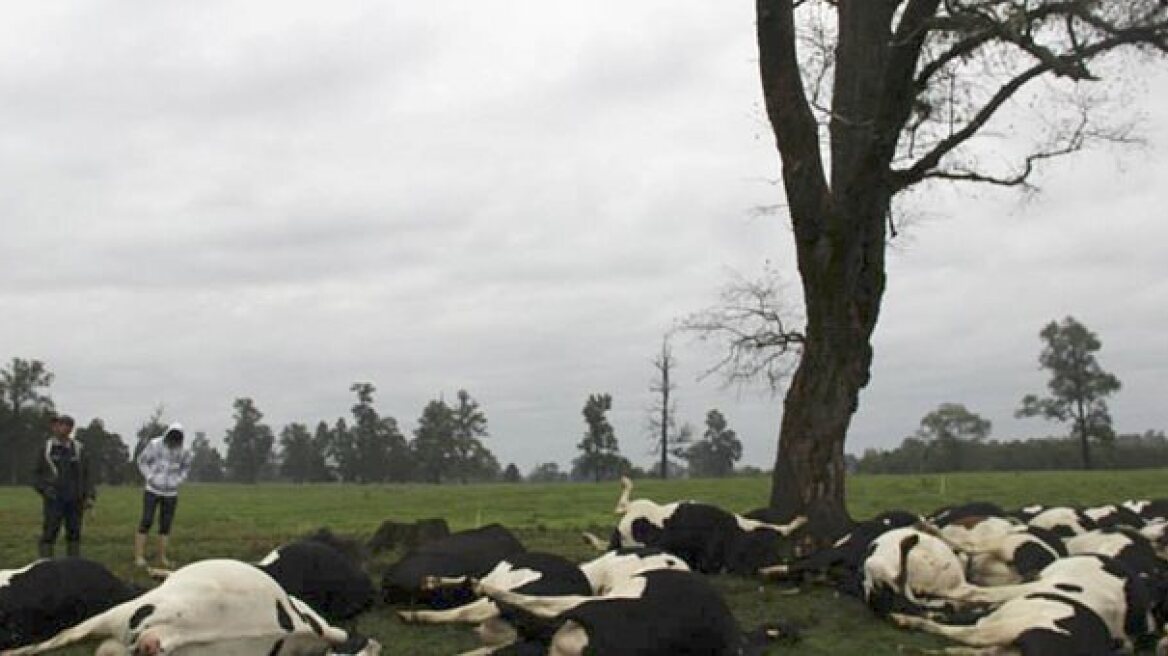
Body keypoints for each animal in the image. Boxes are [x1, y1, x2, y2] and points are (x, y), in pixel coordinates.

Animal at [581, 473, 803, 571]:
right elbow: (779, 527)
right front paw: (798, 521)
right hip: (644, 508)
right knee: (622, 504)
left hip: (639, 513)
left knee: (621, 508)